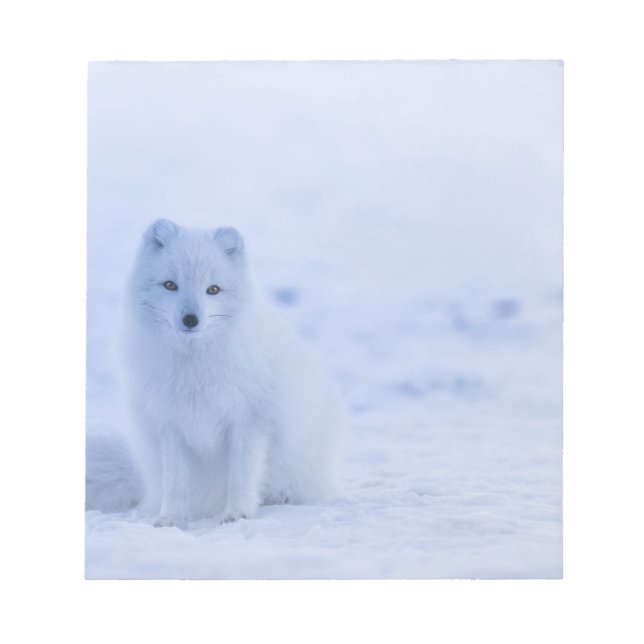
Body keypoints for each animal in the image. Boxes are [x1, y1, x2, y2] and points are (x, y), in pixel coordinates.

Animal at [88, 219, 345, 529]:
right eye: (170, 285)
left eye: (213, 290)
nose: (190, 319)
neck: (194, 366)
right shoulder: (170, 425)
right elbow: (176, 483)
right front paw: (171, 519)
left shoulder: (250, 423)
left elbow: (241, 476)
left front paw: (237, 514)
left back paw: (280, 497)